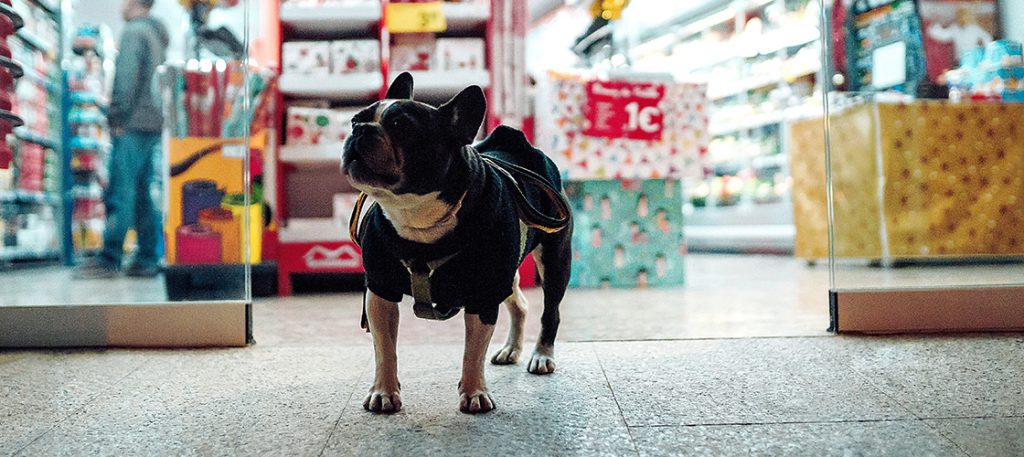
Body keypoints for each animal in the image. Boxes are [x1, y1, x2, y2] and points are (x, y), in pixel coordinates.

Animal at [339, 72, 573, 413]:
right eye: (355, 119)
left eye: (401, 126)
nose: (360, 129)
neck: (416, 214)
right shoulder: (380, 292)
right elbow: (385, 349)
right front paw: (384, 391)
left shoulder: (483, 296)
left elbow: (472, 351)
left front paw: (474, 392)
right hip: (505, 275)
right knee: (520, 305)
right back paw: (511, 349)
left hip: (554, 260)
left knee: (549, 311)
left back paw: (542, 354)